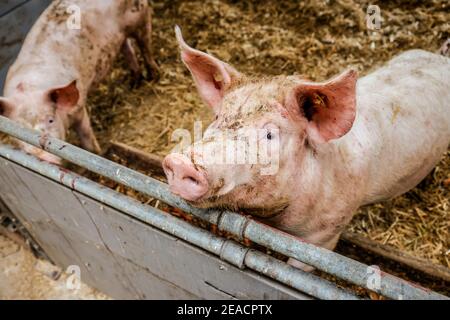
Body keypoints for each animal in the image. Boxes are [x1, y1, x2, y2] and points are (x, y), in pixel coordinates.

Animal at [0, 0, 158, 164]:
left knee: (145, 46)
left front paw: (95, 155)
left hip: (140, 15)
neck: (30, 87)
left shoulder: (79, 108)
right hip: (121, 35)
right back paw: (135, 82)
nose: (42, 157)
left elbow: (87, 141)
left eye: (50, 120)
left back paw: (154, 76)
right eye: (17, 127)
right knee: (127, 47)